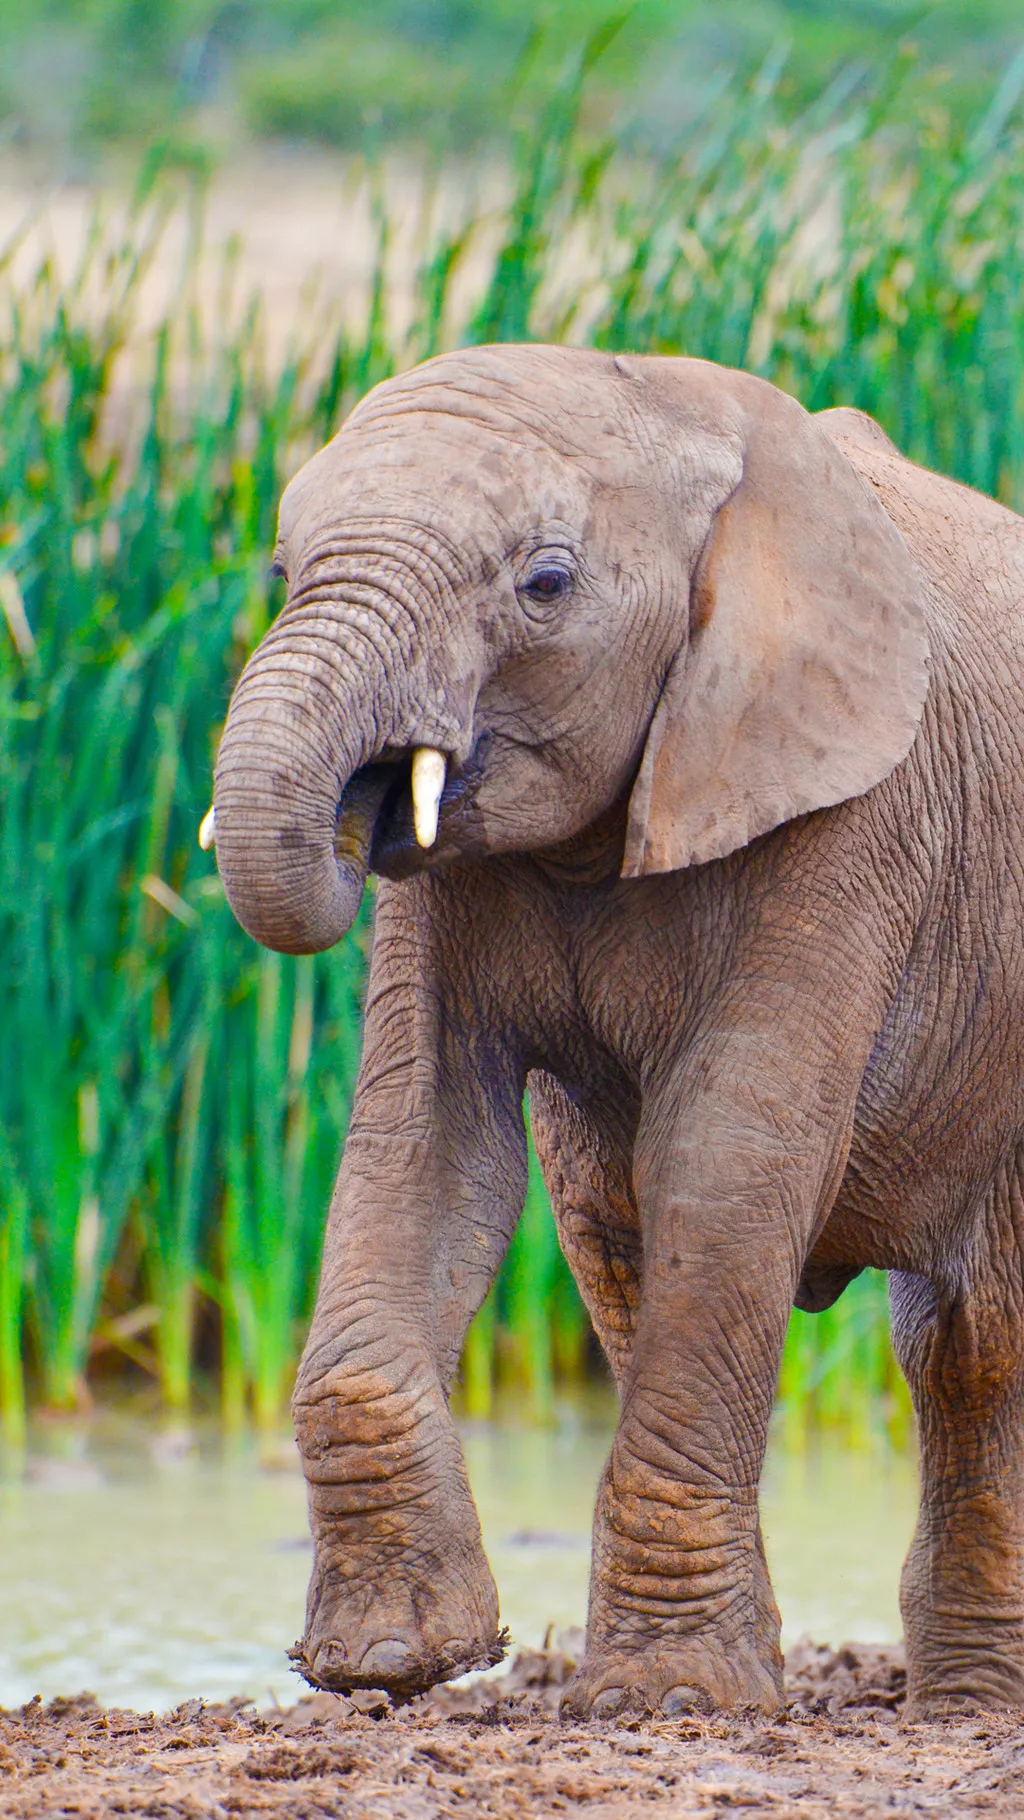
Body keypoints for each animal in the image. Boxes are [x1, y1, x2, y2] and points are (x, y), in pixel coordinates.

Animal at [210, 342, 1024, 1718]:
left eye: (544, 583)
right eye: (280, 567)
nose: (353, 808)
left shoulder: (856, 815)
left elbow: (727, 1158)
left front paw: (671, 1703)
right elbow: (424, 1143)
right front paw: (393, 1662)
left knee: (981, 1342)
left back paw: (970, 1710)